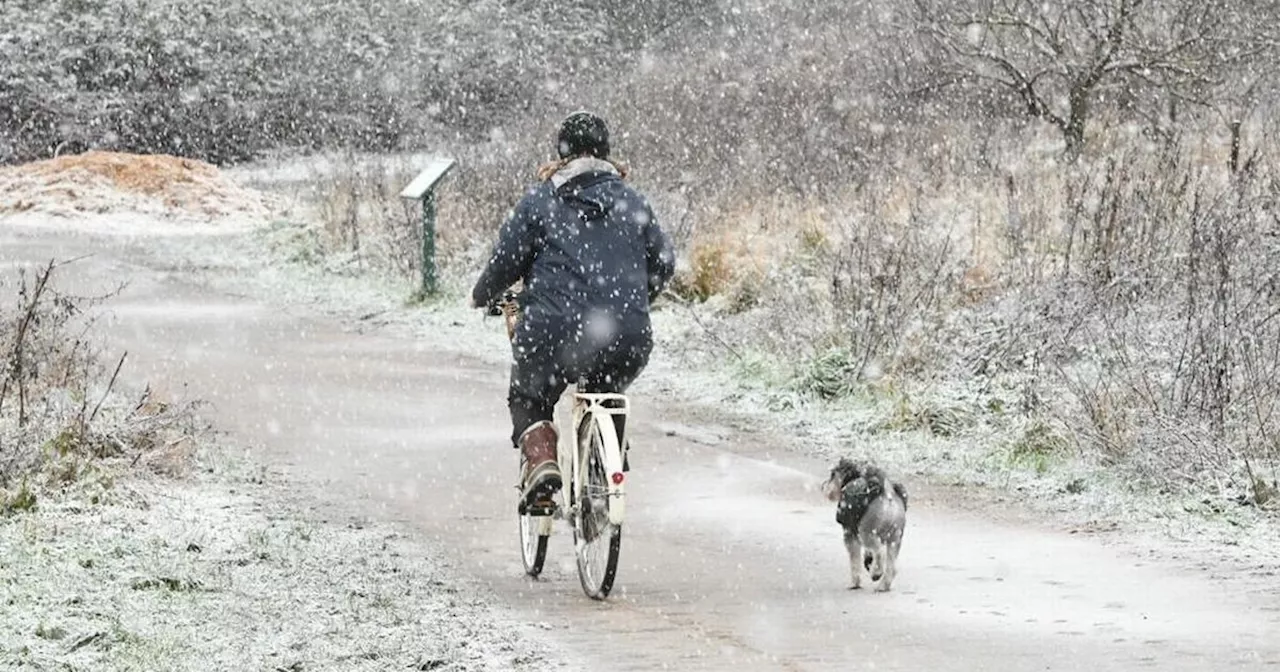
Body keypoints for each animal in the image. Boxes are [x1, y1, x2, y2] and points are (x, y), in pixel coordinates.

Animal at [819, 458, 911, 588]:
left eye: (833, 474)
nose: (823, 486)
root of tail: (887, 495)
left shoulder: (849, 533)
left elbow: (855, 560)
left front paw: (855, 583)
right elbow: (866, 555)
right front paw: (867, 562)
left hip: (868, 534)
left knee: (879, 552)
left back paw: (876, 573)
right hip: (895, 539)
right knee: (891, 566)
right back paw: (883, 585)